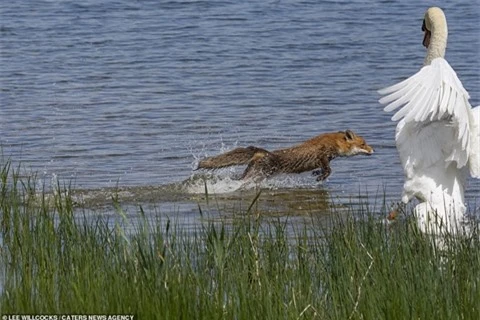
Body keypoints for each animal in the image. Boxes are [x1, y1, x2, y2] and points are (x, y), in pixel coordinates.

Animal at [197, 129, 374, 181]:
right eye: (363, 144)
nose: (373, 150)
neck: (333, 143)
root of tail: (262, 152)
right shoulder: (322, 157)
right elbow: (329, 170)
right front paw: (320, 178)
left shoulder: (323, 161)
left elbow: (324, 169)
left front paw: (317, 174)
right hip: (257, 175)